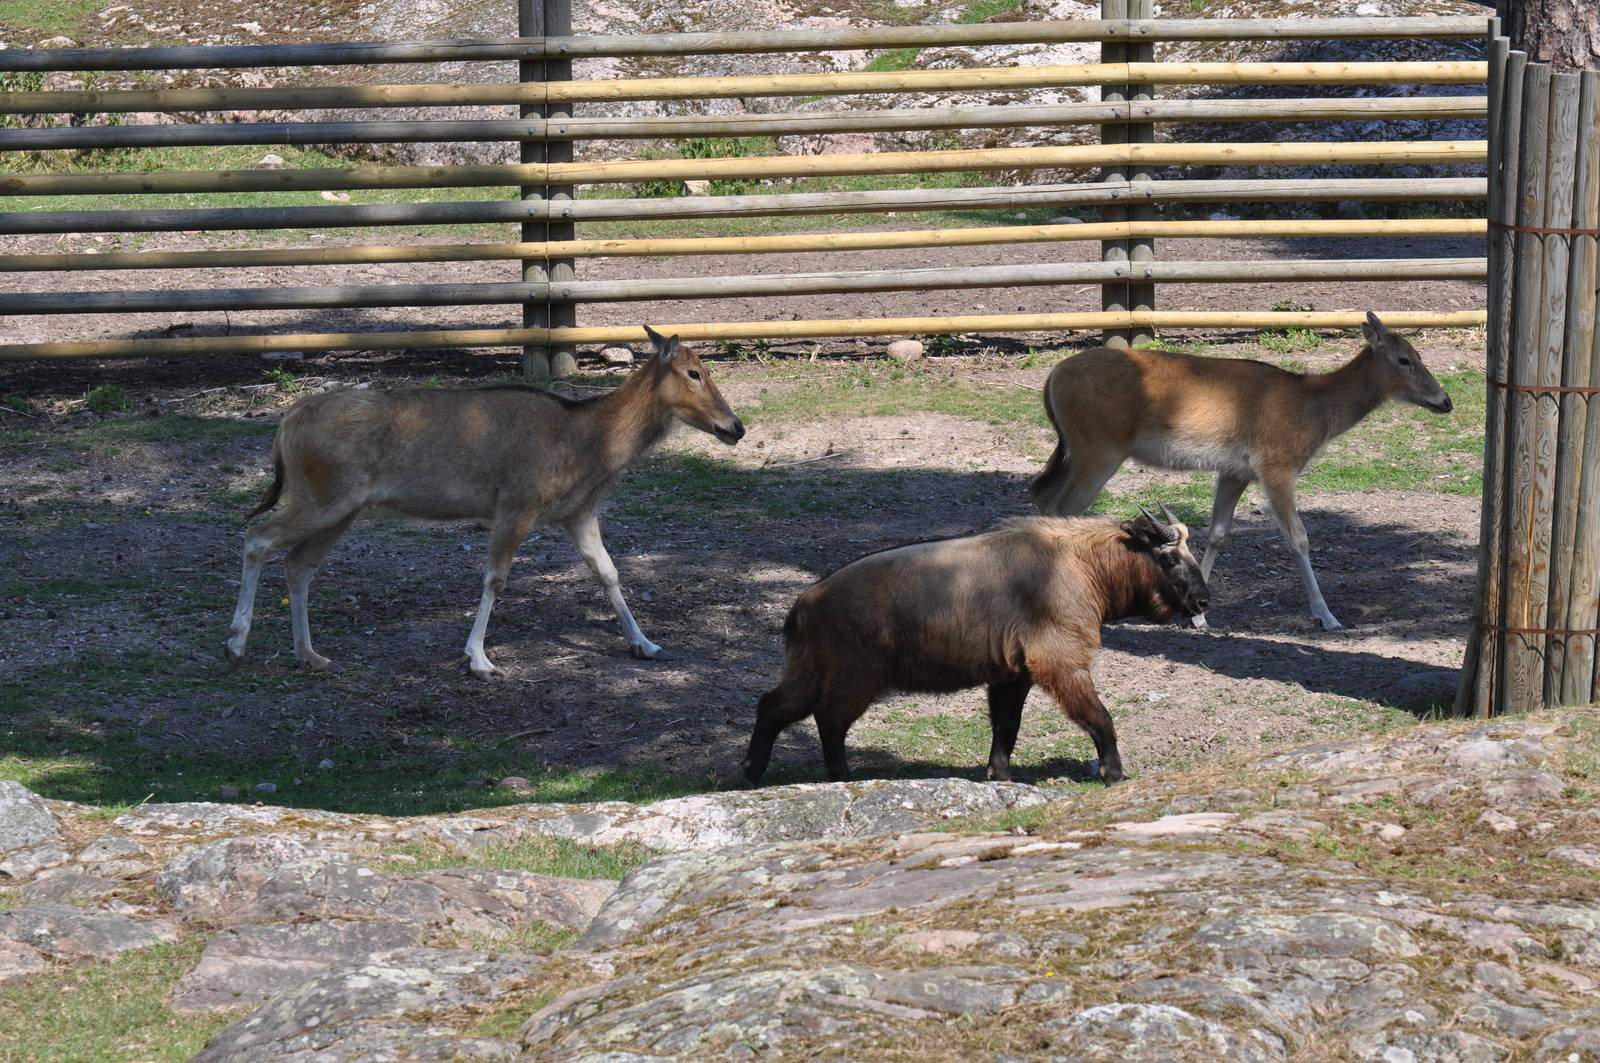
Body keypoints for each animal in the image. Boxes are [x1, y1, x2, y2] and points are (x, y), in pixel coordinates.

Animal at [224, 326, 745, 678]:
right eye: (695, 372)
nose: (735, 427)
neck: (587, 444)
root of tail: (288, 422)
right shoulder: (517, 504)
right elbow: (495, 578)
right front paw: (478, 659)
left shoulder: (576, 512)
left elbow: (609, 571)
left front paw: (647, 644)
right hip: (323, 494)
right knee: (257, 536)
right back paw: (236, 641)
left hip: (341, 506)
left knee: (298, 562)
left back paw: (310, 653)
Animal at [742, 508, 1208, 787]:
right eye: (1169, 559)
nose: (1204, 601)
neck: (1079, 565)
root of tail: (806, 602)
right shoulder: (1061, 664)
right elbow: (1100, 719)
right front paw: (1115, 775)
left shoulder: (1012, 675)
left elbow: (1006, 728)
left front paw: (998, 776)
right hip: (856, 678)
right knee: (830, 721)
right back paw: (842, 778)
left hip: (812, 673)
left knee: (773, 707)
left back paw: (752, 771)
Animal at [1029, 312, 1453, 631]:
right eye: (1404, 359)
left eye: (1418, 353)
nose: (1445, 400)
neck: (1312, 411)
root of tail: (1051, 378)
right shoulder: (1276, 465)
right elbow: (1298, 538)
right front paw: (1327, 616)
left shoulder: (1235, 470)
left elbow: (1218, 531)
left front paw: (1199, 615)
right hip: (1099, 450)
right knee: (1062, 508)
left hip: (1076, 452)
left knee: (1043, 497)